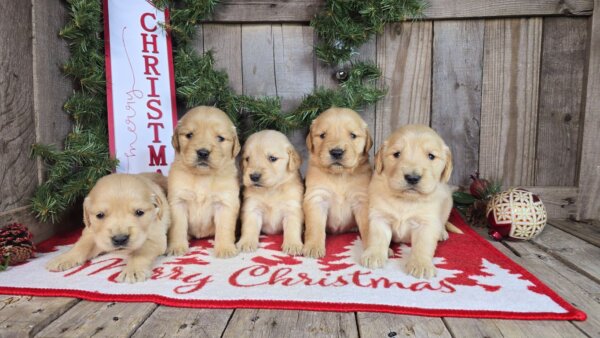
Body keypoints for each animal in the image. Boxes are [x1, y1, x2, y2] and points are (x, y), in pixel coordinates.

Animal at [166, 107, 241, 258]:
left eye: (220, 138)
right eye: (189, 135)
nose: (203, 152)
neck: (203, 176)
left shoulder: (225, 203)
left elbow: (224, 227)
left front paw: (225, 248)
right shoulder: (178, 202)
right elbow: (178, 227)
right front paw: (177, 247)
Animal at [302, 107, 372, 258]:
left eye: (352, 135)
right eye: (322, 135)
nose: (337, 152)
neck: (339, 176)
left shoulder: (362, 200)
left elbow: (368, 228)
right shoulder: (317, 197)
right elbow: (315, 226)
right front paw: (313, 247)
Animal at [360, 125, 460, 278]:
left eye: (431, 156)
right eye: (396, 154)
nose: (412, 177)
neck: (406, 200)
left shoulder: (427, 223)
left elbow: (423, 245)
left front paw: (421, 264)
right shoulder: (379, 216)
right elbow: (377, 237)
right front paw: (374, 255)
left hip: (448, 202)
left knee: (442, 222)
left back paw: (442, 232)